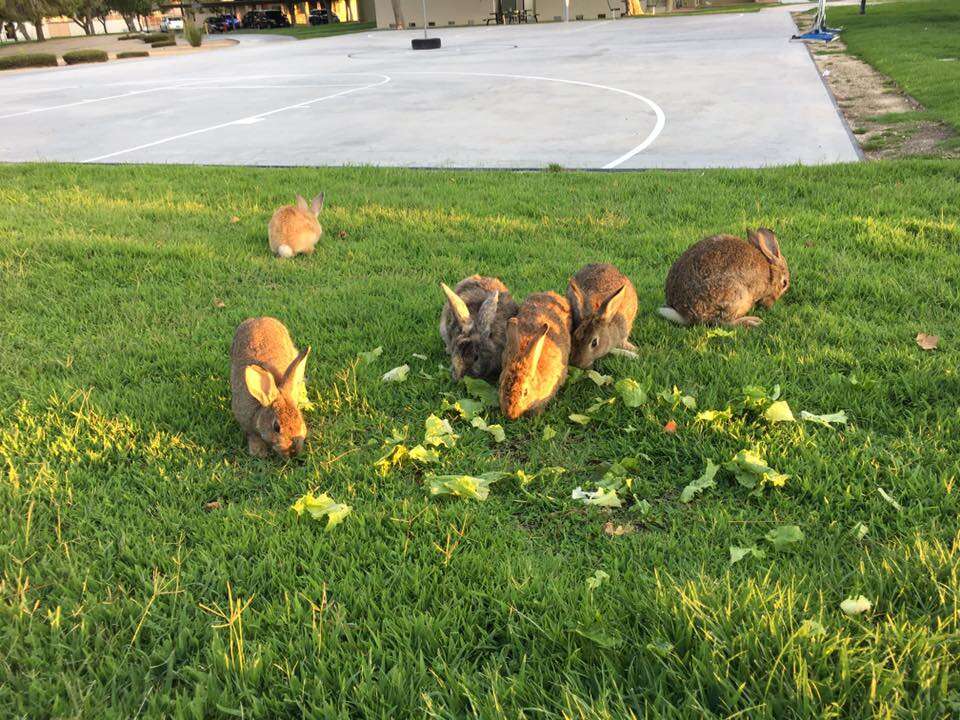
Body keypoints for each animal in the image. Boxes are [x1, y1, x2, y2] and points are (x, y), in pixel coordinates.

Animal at [660, 229, 788, 328]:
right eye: (784, 283)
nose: (769, 306)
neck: (770, 272)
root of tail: (686, 314)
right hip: (735, 296)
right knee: (722, 322)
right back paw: (752, 321)